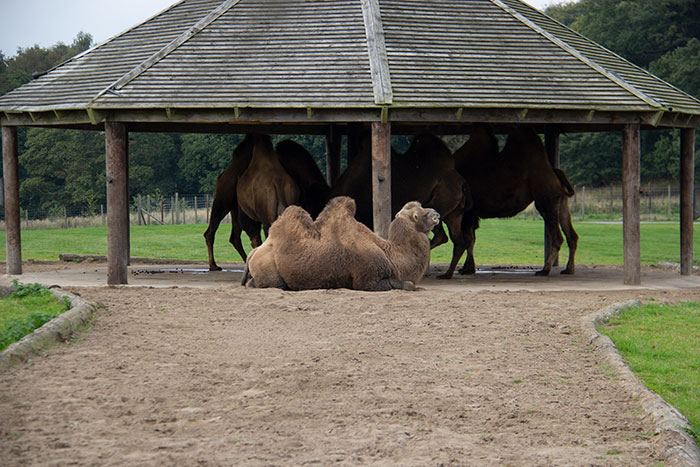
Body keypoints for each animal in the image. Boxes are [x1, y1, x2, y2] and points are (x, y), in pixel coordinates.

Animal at [241, 196, 438, 290]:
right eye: (418, 215)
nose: (436, 214)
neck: (391, 255)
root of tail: (253, 254)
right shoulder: (368, 280)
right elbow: (408, 285)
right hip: (269, 271)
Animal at [330, 132, 474, 280]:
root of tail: (461, 181)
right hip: (454, 212)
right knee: (457, 240)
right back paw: (447, 274)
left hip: (441, 202)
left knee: (440, 233)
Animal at [454, 125, 580, 278]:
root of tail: (554, 174)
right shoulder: (472, 215)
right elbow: (471, 238)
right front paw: (466, 268)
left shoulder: (468, 213)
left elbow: (468, 239)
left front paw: (468, 269)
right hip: (561, 202)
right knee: (571, 235)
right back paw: (569, 269)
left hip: (546, 200)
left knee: (558, 237)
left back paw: (545, 269)